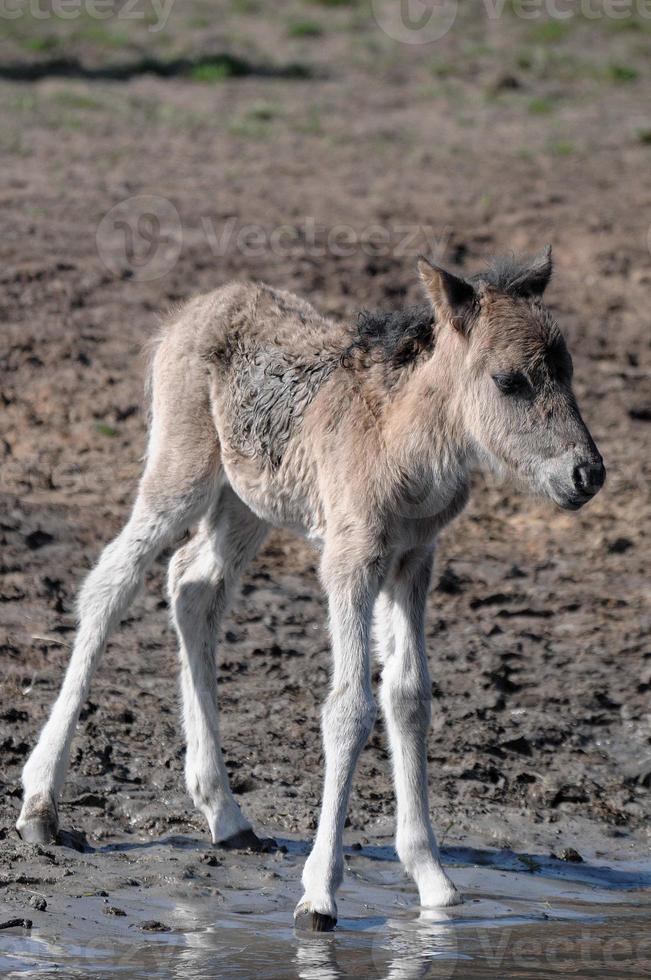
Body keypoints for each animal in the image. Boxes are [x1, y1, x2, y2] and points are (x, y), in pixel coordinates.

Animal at [15, 249, 608, 932]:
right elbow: (348, 709)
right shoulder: (350, 560)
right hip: (181, 472)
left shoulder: (413, 560)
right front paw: (319, 893)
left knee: (192, 584)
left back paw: (227, 816)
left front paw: (432, 879)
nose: (587, 473)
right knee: (112, 582)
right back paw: (40, 806)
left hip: (247, 502)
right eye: (509, 381)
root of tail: (192, 310)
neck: (403, 441)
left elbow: (408, 695)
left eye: (567, 371)